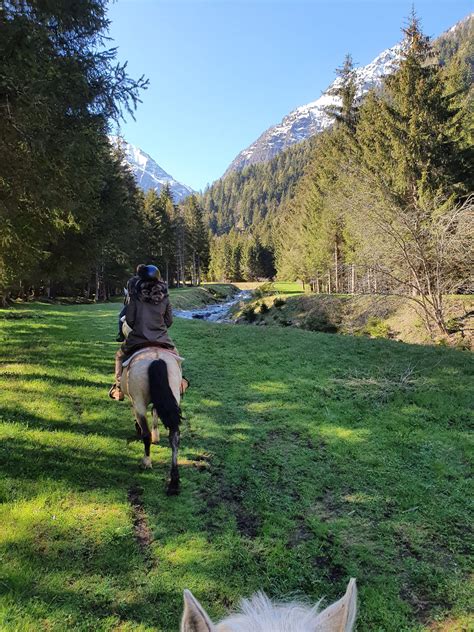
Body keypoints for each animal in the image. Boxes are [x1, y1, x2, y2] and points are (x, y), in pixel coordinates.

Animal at [121, 348, 182, 496]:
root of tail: (156, 358)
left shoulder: (135, 401)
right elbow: (155, 413)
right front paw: (157, 436)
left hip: (139, 401)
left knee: (146, 434)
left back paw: (146, 462)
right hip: (174, 395)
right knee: (174, 436)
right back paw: (173, 484)